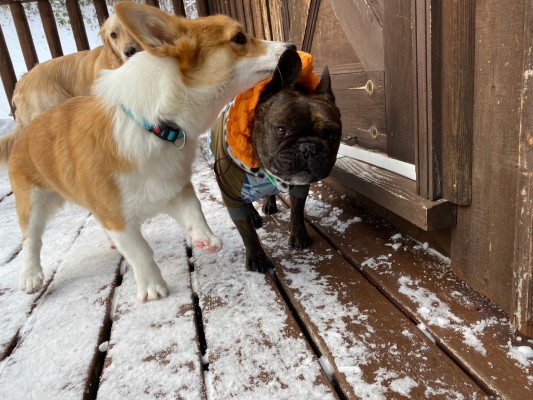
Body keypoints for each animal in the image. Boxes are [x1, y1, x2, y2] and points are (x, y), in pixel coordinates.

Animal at [0, 2, 290, 300]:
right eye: (239, 38)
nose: (290, 47)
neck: (154, 123)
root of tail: (24, 131)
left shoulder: (171, 186)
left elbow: (193, 209)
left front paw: (205, 240)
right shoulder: (117, 217)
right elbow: (140, 252)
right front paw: (153, 287)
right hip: (33, 201)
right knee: (31, 239)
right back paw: (30, 275)